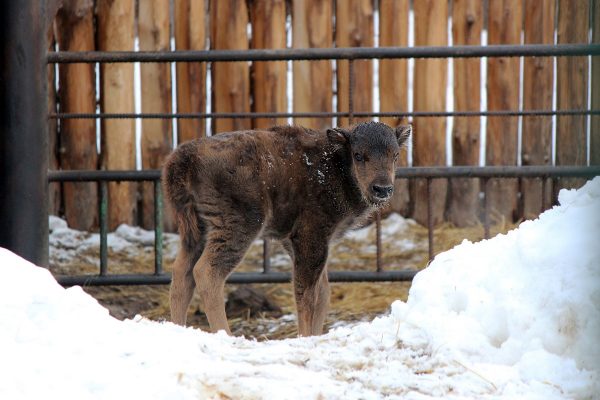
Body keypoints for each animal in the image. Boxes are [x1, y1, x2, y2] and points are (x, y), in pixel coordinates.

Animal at [162, 120, 410, 336]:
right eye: (358, 155)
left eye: (395, 155)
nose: (382, 189)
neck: (335, 164)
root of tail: (184, 158)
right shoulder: (312, 236)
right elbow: (307, 294)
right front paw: (305, 336)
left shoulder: (297, 241)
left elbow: (323, 292)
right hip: (238, 227)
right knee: (206, 272)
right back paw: (227, 335)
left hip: (196, 231)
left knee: (182, 274)